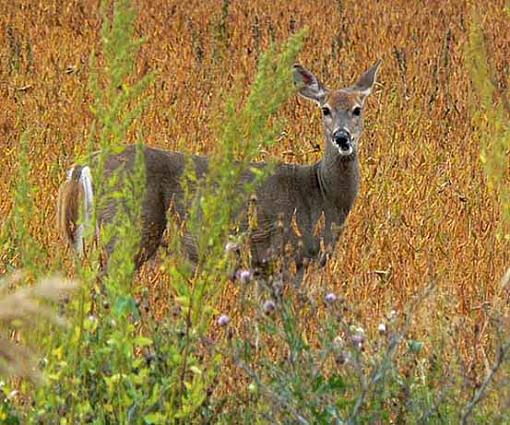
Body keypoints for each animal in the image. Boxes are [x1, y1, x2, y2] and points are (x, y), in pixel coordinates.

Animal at [57, 60, 380, 284]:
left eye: (357, 109)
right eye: (325, 109)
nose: (342, 138)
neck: (319, 195)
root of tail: (81, 168)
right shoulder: (282, 255)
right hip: (126, 233)